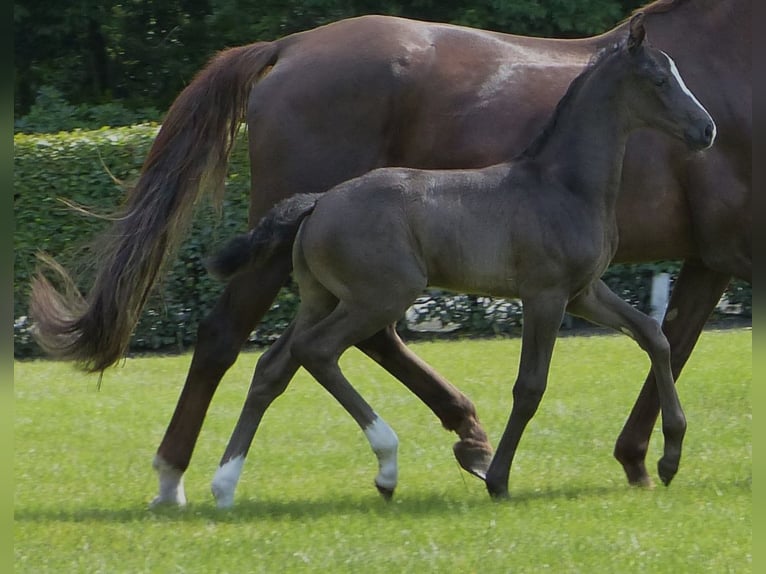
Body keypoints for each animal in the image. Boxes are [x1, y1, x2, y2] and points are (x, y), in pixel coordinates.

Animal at [30, 0, 752, 504]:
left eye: (679, 75)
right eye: (657, 79)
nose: (706, 130)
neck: (556, 180)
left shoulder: (589, 291)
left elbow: (658, 339)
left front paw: (662, 459)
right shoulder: (547, 294)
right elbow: (532, 384)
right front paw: (505, 480)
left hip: (331, 294)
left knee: (281, 361)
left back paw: (233, 482)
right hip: (377, 290)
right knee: (272, 344)